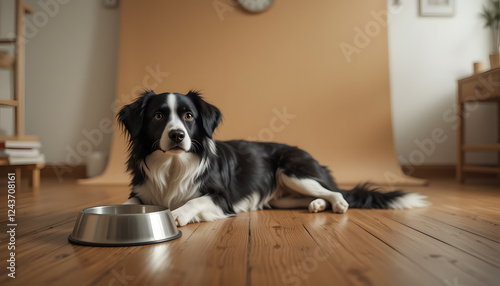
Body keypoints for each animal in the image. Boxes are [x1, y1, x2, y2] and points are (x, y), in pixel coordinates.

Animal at [118, 90, 430, 227]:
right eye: (159, 116)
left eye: (189, 116)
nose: (177, 136)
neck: (173, 165)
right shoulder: (141, 192)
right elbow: (125, 204)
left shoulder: (221, 198)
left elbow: (194, 201)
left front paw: (176, 214)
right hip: (282, 197)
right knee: (315, 196)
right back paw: (317, 205)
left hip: (292, 171)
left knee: (337, 193)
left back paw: (335, 203)